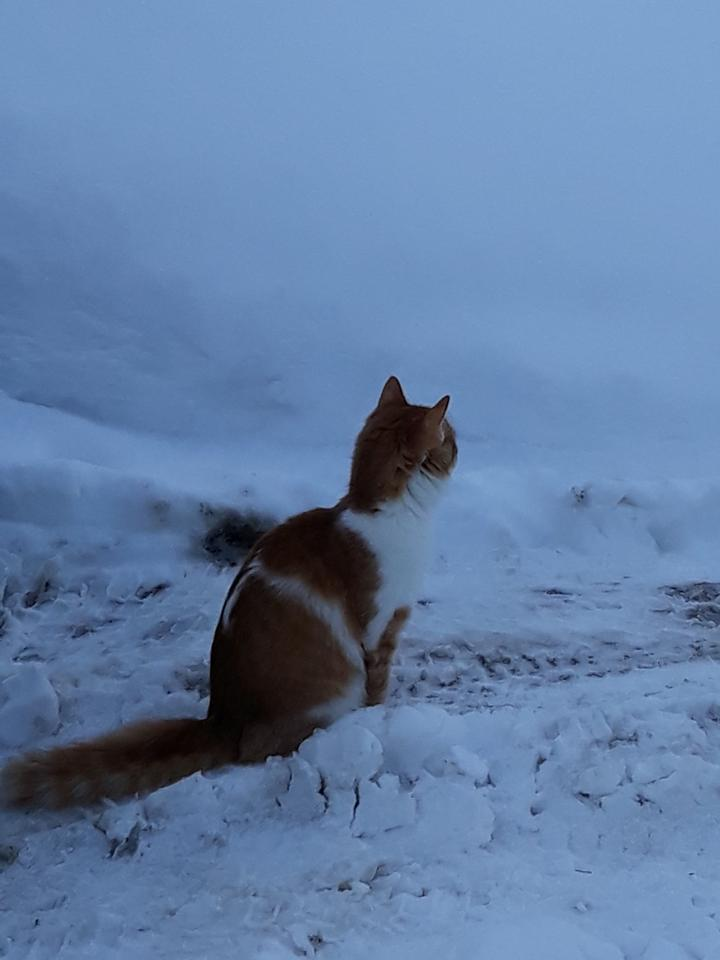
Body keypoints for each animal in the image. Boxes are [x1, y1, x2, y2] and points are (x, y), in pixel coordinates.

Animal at [1, 378, 456, 808]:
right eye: (450, 438)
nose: (460, 446)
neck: (378, 511)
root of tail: (221, 721)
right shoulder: (381, 625)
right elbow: (378, 687)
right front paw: (383, 717)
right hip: (327, 692)